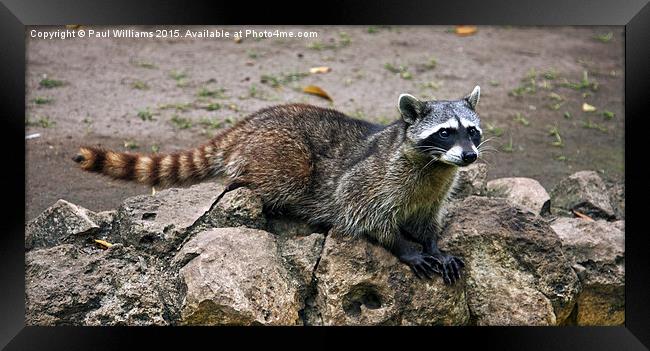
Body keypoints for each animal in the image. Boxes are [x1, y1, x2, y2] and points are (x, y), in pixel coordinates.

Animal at [74, 86, 480, 284]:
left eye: (472, 131)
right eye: (445, 132)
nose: (470, 156)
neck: (435, 165)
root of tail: (253, 121)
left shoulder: (436, 188)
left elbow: (427, 219)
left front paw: (433, 245)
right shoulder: (373, 178)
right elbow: (361, 211)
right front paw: (405, 248)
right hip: (281, 154)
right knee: (287, 177)